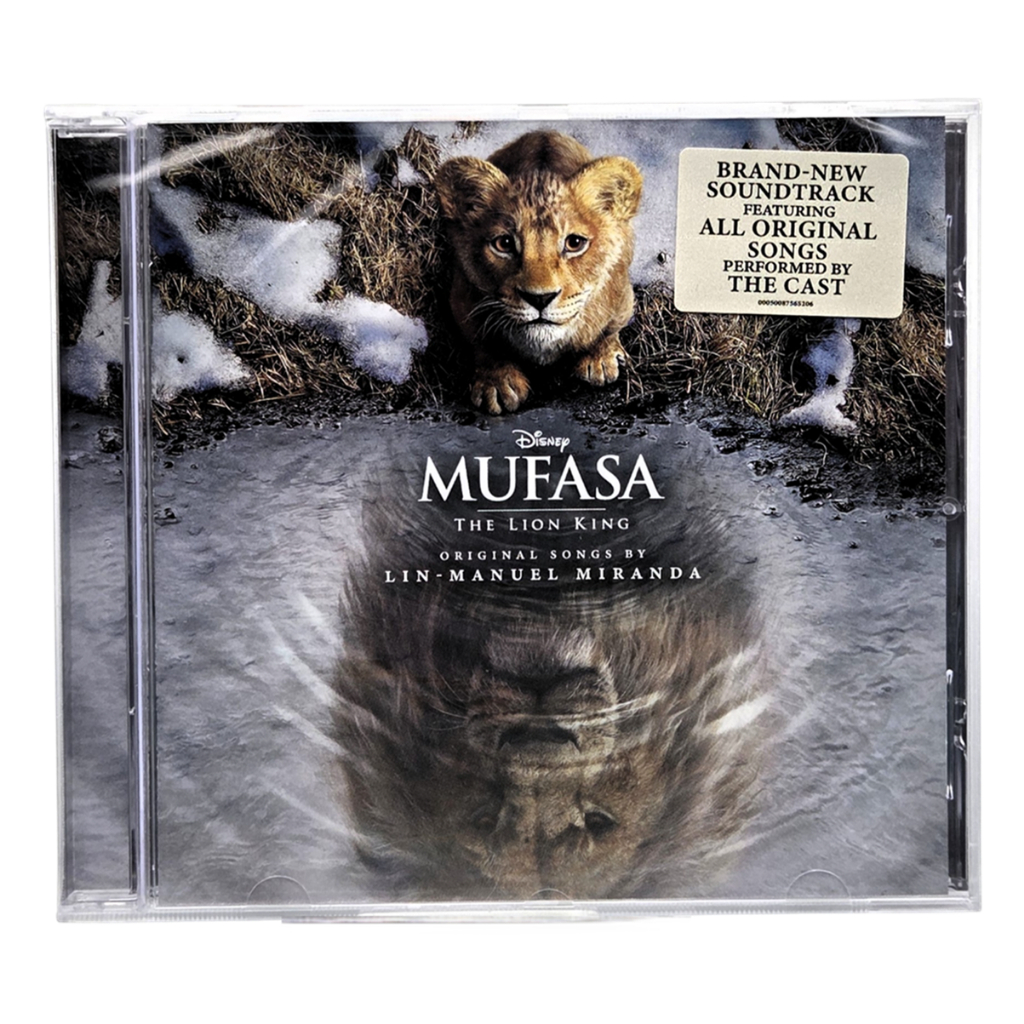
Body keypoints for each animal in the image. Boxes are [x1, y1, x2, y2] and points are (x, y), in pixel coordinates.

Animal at [434, 131, 643, 415]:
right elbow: (483, 344)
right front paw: (496, 383)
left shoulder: (622, 296)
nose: (540, 298)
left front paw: (600, 358)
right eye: (504, 244)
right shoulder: (462, 298)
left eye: (574, 243)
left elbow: (609, 329)